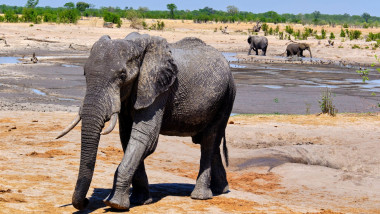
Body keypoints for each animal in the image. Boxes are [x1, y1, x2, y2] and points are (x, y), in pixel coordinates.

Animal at [56, 33, 235, 211]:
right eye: (85, 73)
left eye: (122, 76)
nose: (86, 201)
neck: (136, 46)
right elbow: (127, 137)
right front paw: (139, 200)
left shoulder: (159, 89)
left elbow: (144, 137)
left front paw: (115, 204)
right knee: (211, 143)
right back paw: (221, 190)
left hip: (226, 97)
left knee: (209, 141)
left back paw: (200, 196)